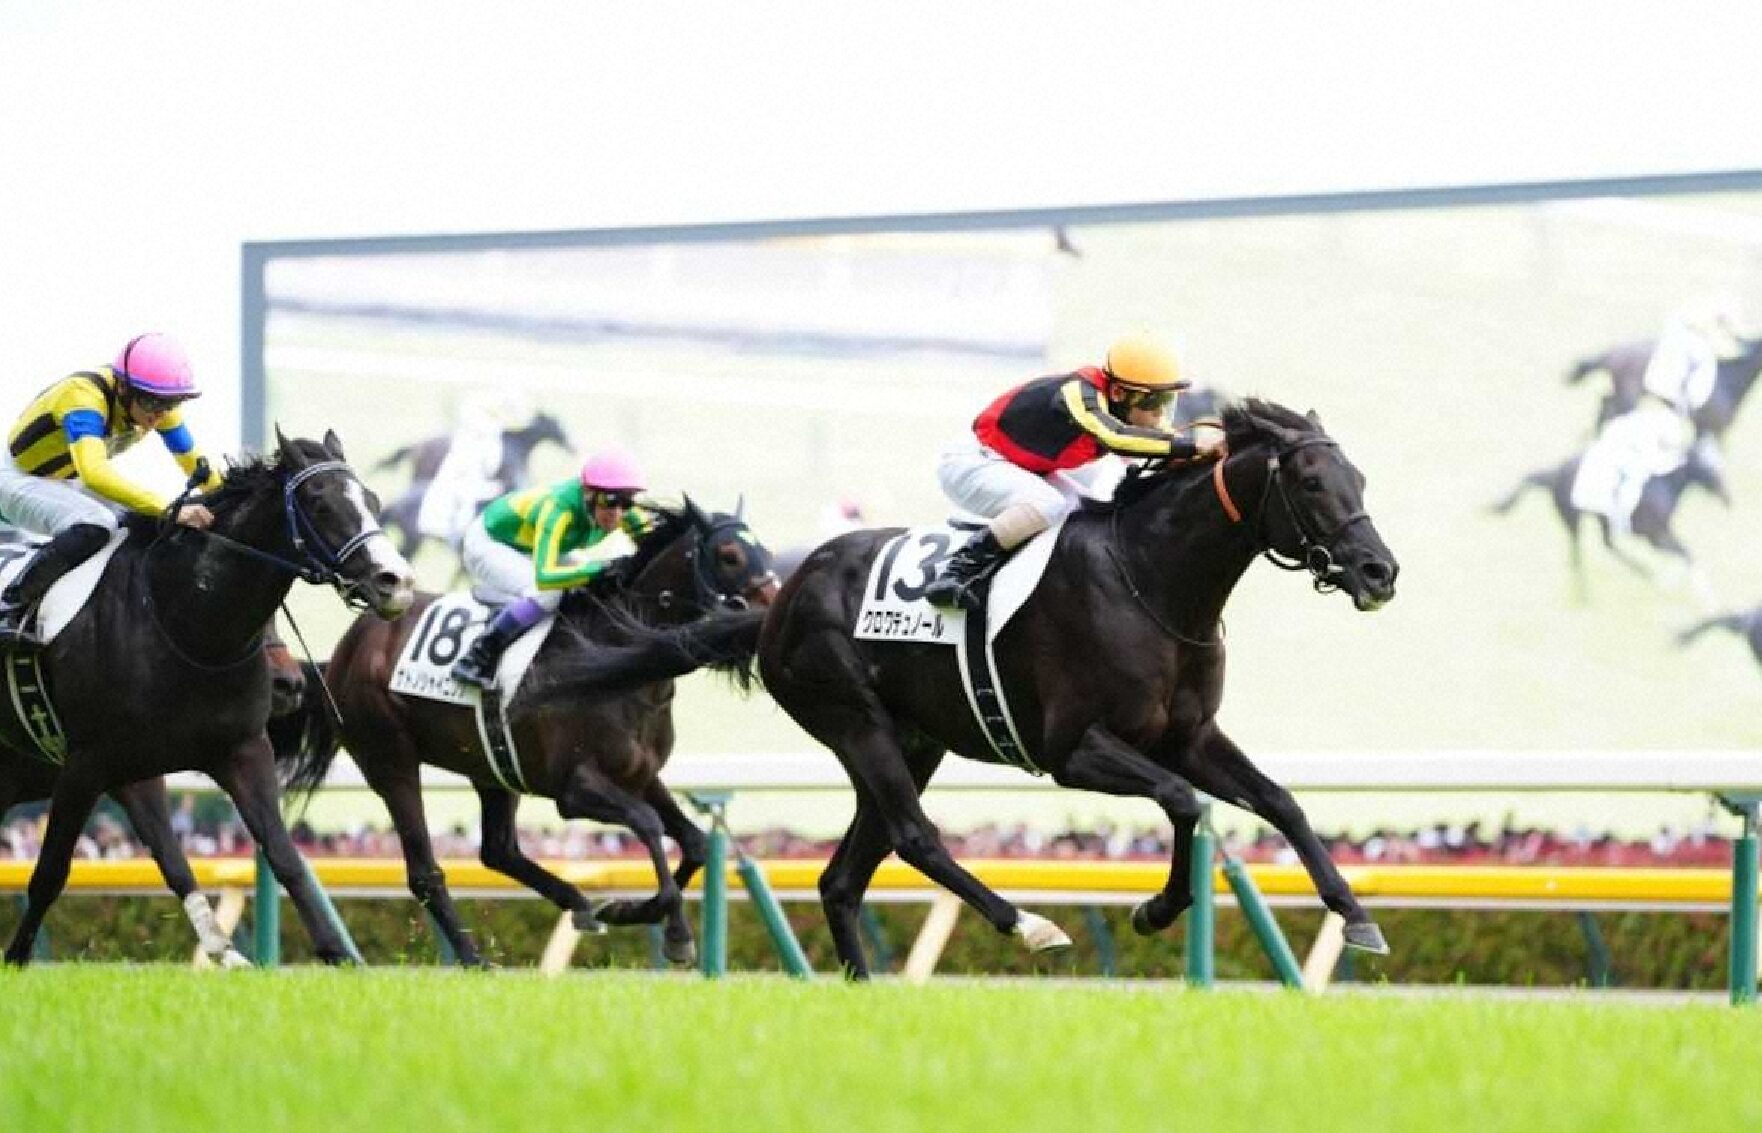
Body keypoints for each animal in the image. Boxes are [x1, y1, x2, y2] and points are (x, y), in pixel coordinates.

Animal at [280, 499, 777, 968]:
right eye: (730, 555)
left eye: (767, 551)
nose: (774, 610)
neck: (622, 663)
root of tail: (342, 654)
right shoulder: (574, 788)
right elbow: (649, 824)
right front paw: (674, 933)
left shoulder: (640, 776)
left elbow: (694, 841)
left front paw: (628, 910)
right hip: (389, 758)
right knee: (424, 870)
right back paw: (473, 958)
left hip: (491, 767)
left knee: (498, 851)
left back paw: (577, 903)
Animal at [549, 399, 1400, 979]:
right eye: (1313, 482)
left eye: (1360, 476)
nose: (1379, 570)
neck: (1150, 578)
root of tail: (780, 599)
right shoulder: (1074, 749)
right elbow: (1184, 803)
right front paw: (1155, 908)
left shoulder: (1188, 736)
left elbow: (1281, 801)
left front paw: (1357, 916)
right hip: (854, 718)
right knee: (914, 835)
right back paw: (1026, 922)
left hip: (912, 739)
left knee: (843, 875)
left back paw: (858, 982)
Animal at [1488, 437, 1728, 602]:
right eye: (1709, 468)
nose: (1728, 498)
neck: (1661, 483)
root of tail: (1554, 475)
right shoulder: (1653, 534)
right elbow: (1685, 553)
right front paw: (1702, 596)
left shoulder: (1657, 533)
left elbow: (1684, 553)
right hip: (1572, 519)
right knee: (1578, 554)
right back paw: (1585, 593)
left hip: (1600, 519)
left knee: (1607, 544)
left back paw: (1641, 571)